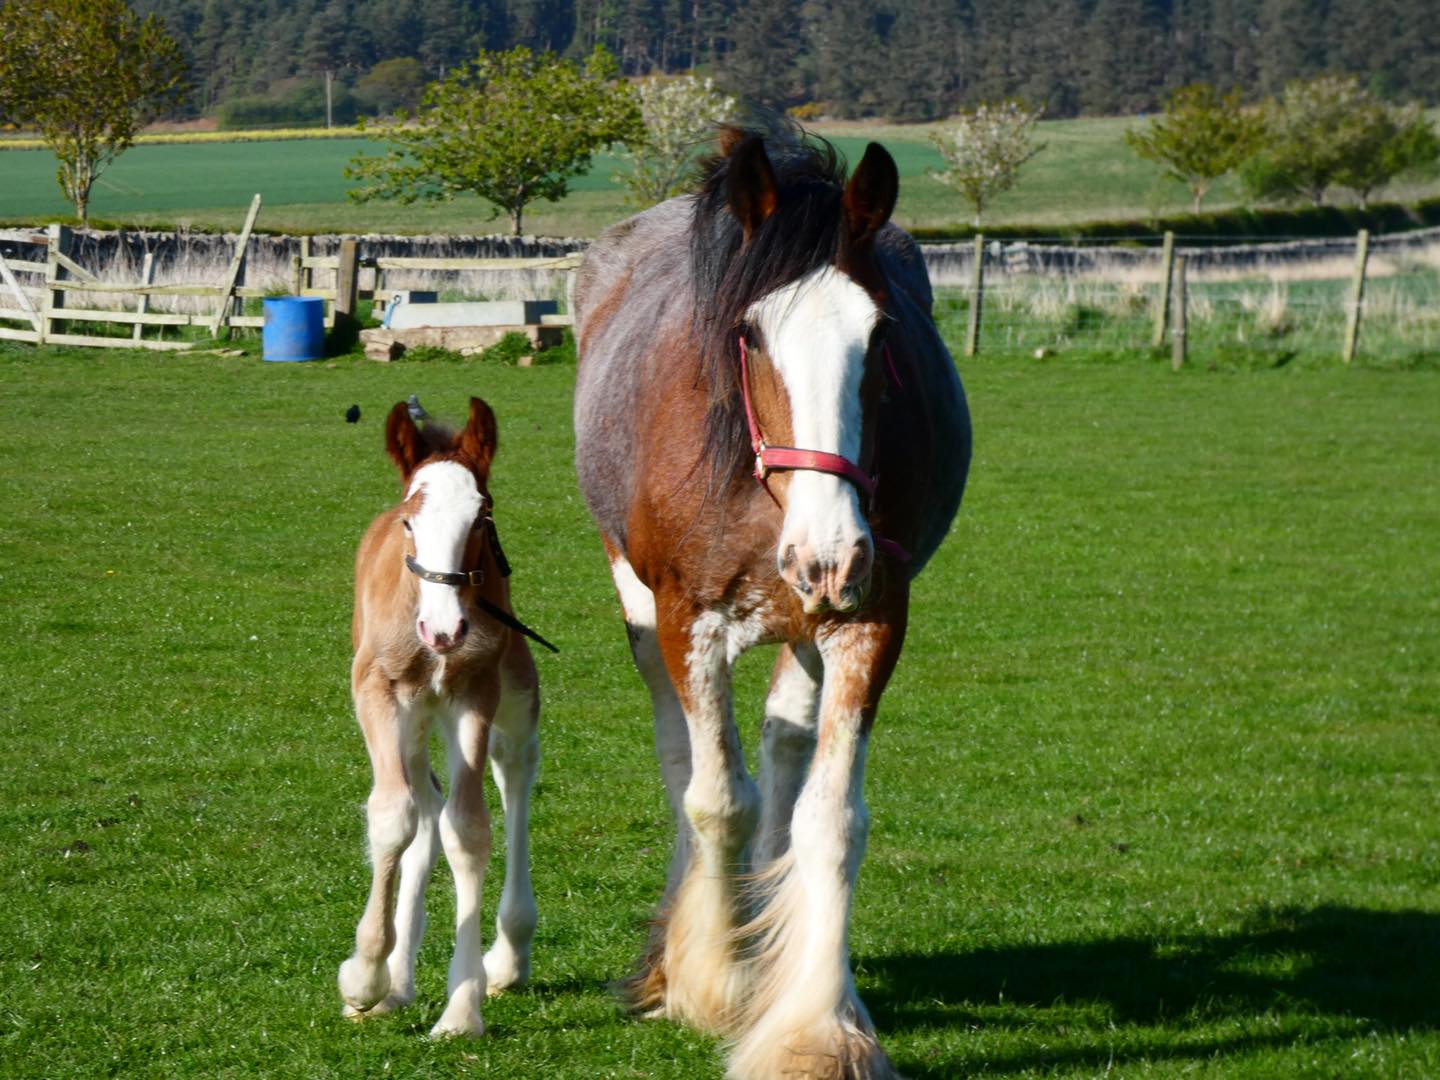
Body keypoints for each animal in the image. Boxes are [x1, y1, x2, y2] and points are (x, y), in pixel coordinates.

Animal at [338, 397, 541, 1042]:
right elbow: (393, 817)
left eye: (481, 517)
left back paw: (509, 953)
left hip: (514, 695)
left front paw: (462, 1008)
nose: (445, 631)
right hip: (410, 721)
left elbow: (469, 829)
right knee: (420, 807)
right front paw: (365, 977)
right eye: (409, 522)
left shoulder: (474, 695)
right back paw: (395, 983)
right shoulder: (377, 692)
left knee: (511, 771)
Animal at [570, 128, 967, 1080]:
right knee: (685, 755)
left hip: (809, 621)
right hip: (645, 611)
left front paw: (815, 1026)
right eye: (750, 333)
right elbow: (717, 796)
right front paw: (710, 981)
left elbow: (830, 818)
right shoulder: (688, 619)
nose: (827, 552)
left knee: (786, 745)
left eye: (882, 332)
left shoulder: (870, 616)